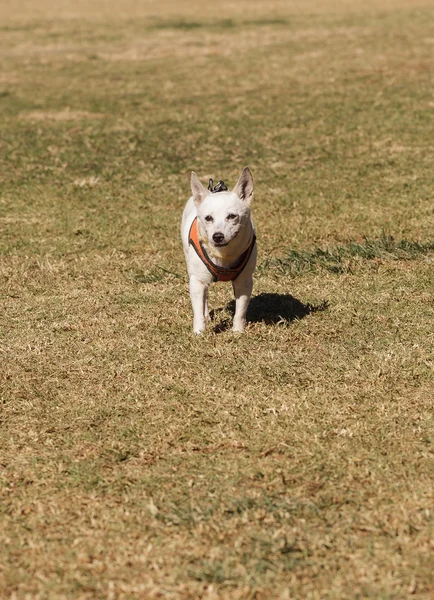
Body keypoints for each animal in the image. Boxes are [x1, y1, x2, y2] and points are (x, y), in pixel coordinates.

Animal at [181, 168, 256, 332]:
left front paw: (238, 331)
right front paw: (199, 332)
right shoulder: (197, 281)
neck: (224, 255)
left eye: (232, 216)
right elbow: (198, 310)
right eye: (208, 218)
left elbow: (240, 310)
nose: (217, 236)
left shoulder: (244, 281)